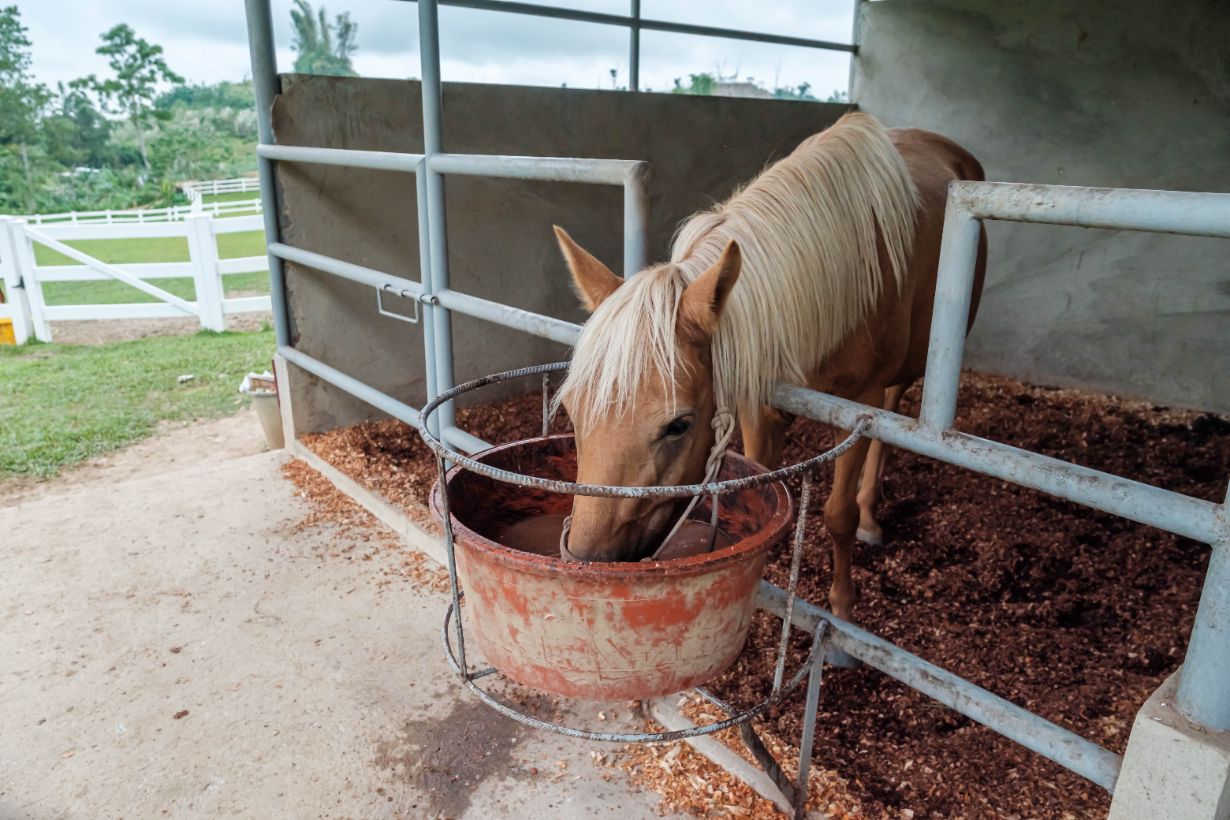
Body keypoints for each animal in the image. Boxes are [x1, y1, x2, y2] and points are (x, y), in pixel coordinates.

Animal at [551, 111, 987, 626]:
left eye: (678, 425)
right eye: (573, 412)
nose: (584, 562)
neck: (832, 283)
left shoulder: (859, 405)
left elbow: (837, 514)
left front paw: (841, 606)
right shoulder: (761, 405)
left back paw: (870, 516)